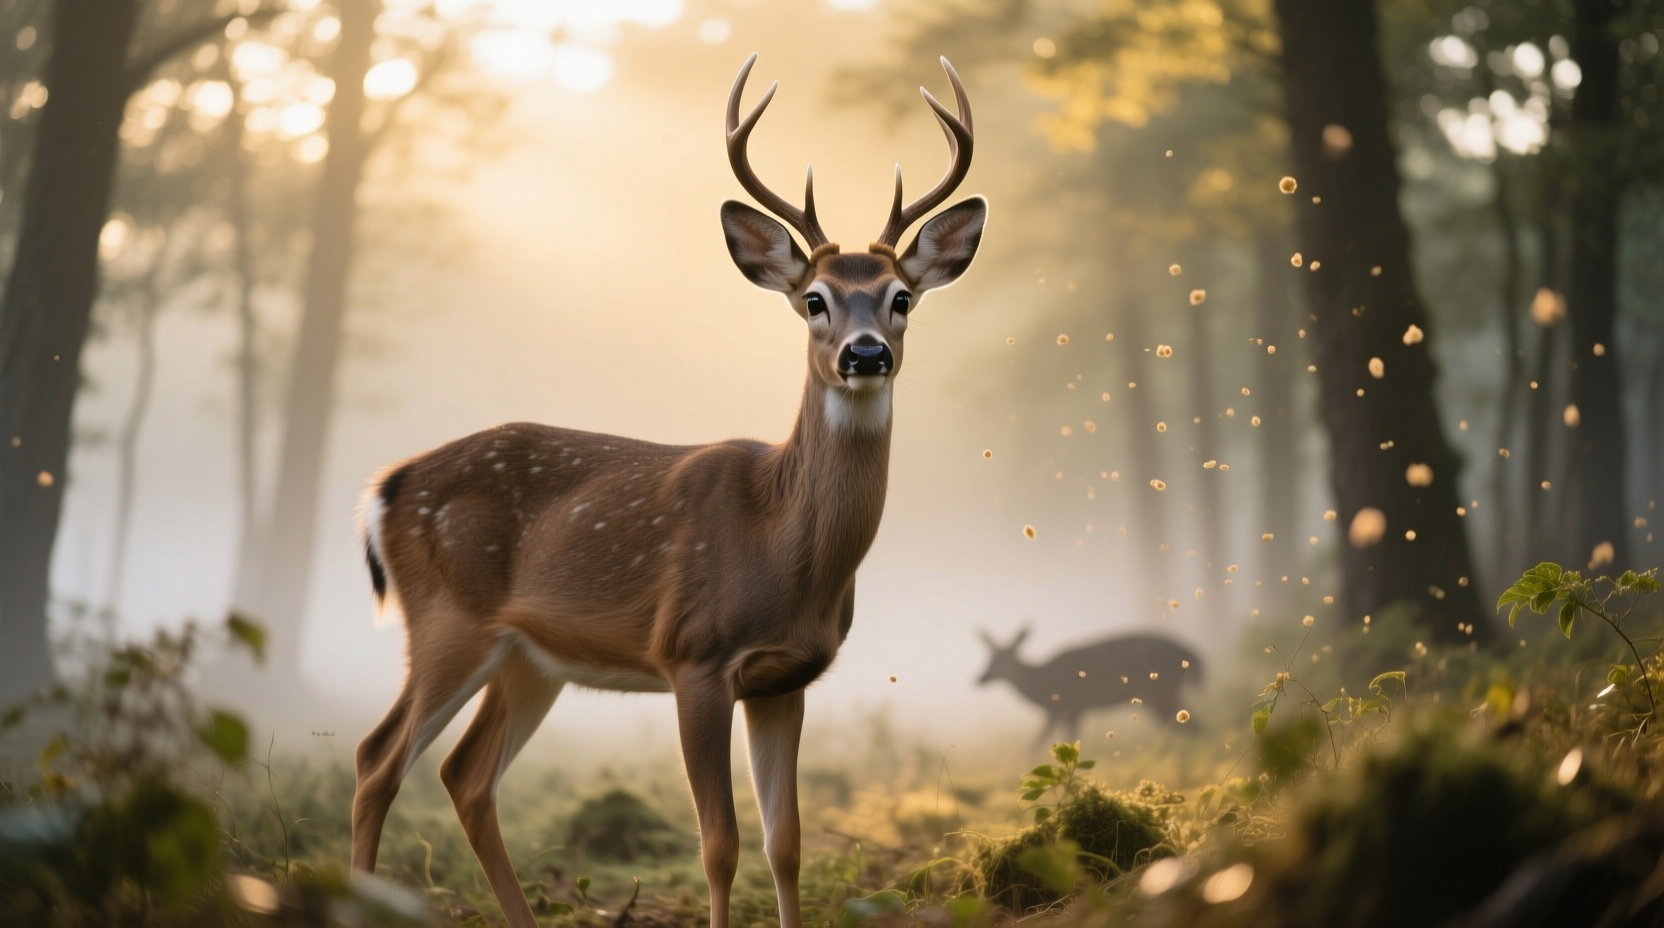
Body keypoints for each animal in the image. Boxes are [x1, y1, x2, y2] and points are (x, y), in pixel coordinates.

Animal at [347, 54, 985, 928]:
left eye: (902, 298)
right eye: (813, 300)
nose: (864, 354)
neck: (781, 544)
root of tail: (387, 487)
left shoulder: (787, 678)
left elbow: (786, 843)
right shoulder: (695, 656)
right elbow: (719, 843)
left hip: (530, 657)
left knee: (465, 776)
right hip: (450, 619)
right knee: (377, 758)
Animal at [977, 628, 1203, 746]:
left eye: (1001, 659)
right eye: (989, 658)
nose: (979, 678)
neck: (1042, 684)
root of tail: (1192, 654)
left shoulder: (1069, 706)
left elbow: (1038, 744)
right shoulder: (1066, 711)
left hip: (1161, 690)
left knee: (1194, 727)